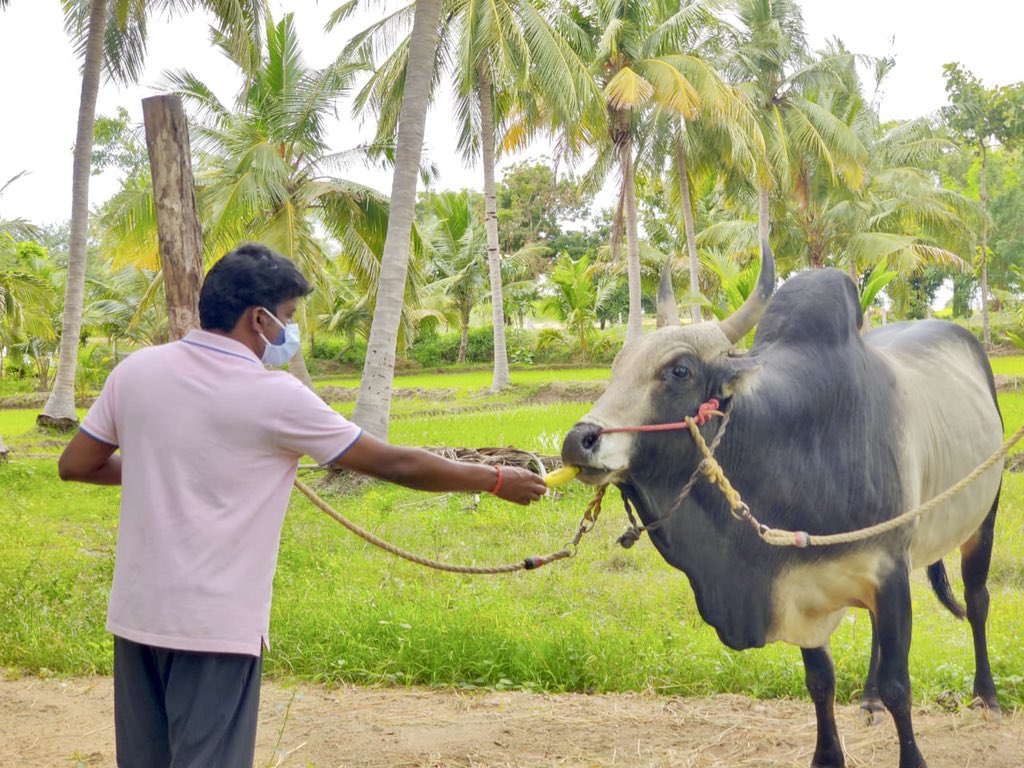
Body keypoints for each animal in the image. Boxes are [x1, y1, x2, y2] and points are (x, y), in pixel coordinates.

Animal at [560, 241, 1003, 768]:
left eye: (679, 370)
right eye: (616, 367)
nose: (579, 440)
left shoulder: (890, 573)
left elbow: (901, 687)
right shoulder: (803, 585)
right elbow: (820, 681)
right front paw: (828, 756)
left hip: (984, 516)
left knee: (977, 601)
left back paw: (987, 696)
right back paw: (869, 699)